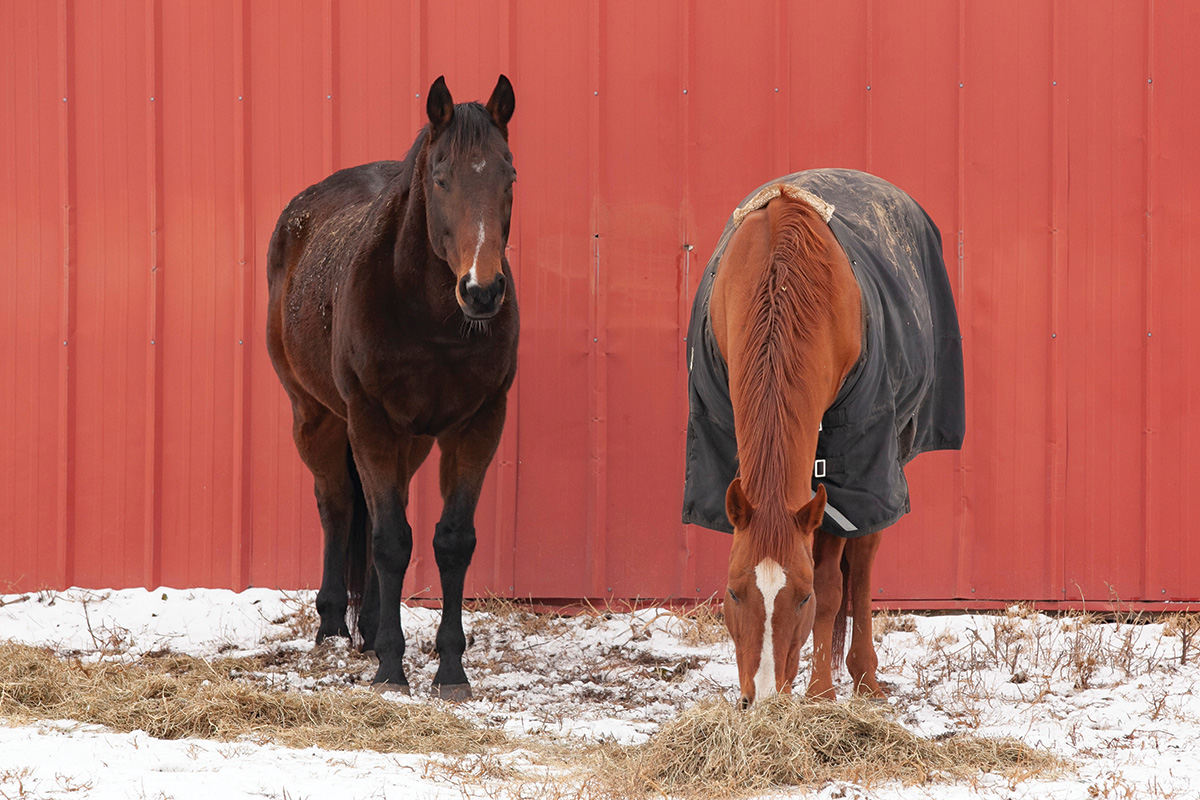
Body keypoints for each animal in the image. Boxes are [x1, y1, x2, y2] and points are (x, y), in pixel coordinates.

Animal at [266, 76, 516, 700]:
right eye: (440, 178)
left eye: (509, 176)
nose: (481, 291)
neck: (429, 317)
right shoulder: (370, 421)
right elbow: (387, 540)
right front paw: (391, 669)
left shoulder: (478, 424)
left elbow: (450, 541)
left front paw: (450, 670)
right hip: (316, 417)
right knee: (337, 506)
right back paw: (334, 624)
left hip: (411, 439)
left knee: (388, 507)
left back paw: (372, 625)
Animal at [686, 169, 964, 705]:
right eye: (733, 592)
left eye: (802, 598)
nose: (763, 697)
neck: (780, 281)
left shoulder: (852, 456)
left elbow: (834, 587)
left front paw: (819, 693)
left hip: (882, 464)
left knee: (863, 561)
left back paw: (863, 675)